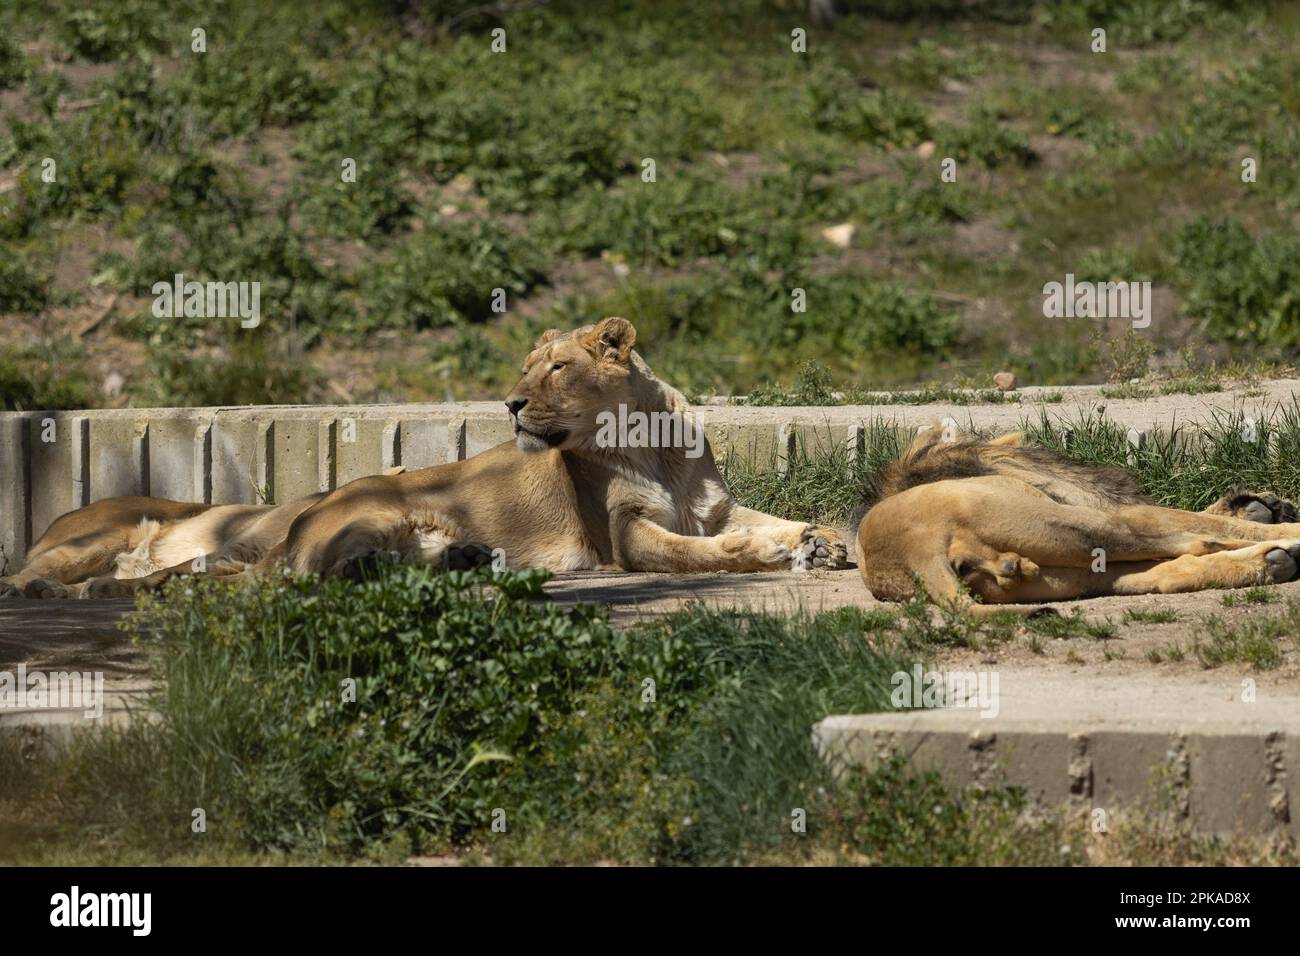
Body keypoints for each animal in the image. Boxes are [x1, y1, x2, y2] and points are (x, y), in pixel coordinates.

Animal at [0, 317, 847, 598]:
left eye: (555, 369)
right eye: (525, 369)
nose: (510, 403)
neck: (652, 444)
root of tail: (306, 513)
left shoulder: (716, 505)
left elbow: (774, 516)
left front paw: (822, 539)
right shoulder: (626, 536)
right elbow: (695, 551)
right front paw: (769, 555)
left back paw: (472, 562)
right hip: (380, 512)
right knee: (317, 577)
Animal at [856, 423, 1300, 616]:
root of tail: (912, 553)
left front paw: (1257, 504)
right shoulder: (1122, 509)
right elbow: (1210, 524)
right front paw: (1268, 513)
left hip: (1078, 568)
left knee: (1170, 571)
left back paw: (1277, 561)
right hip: (1091, 525)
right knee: (1194, 544)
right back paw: (1283, 548)